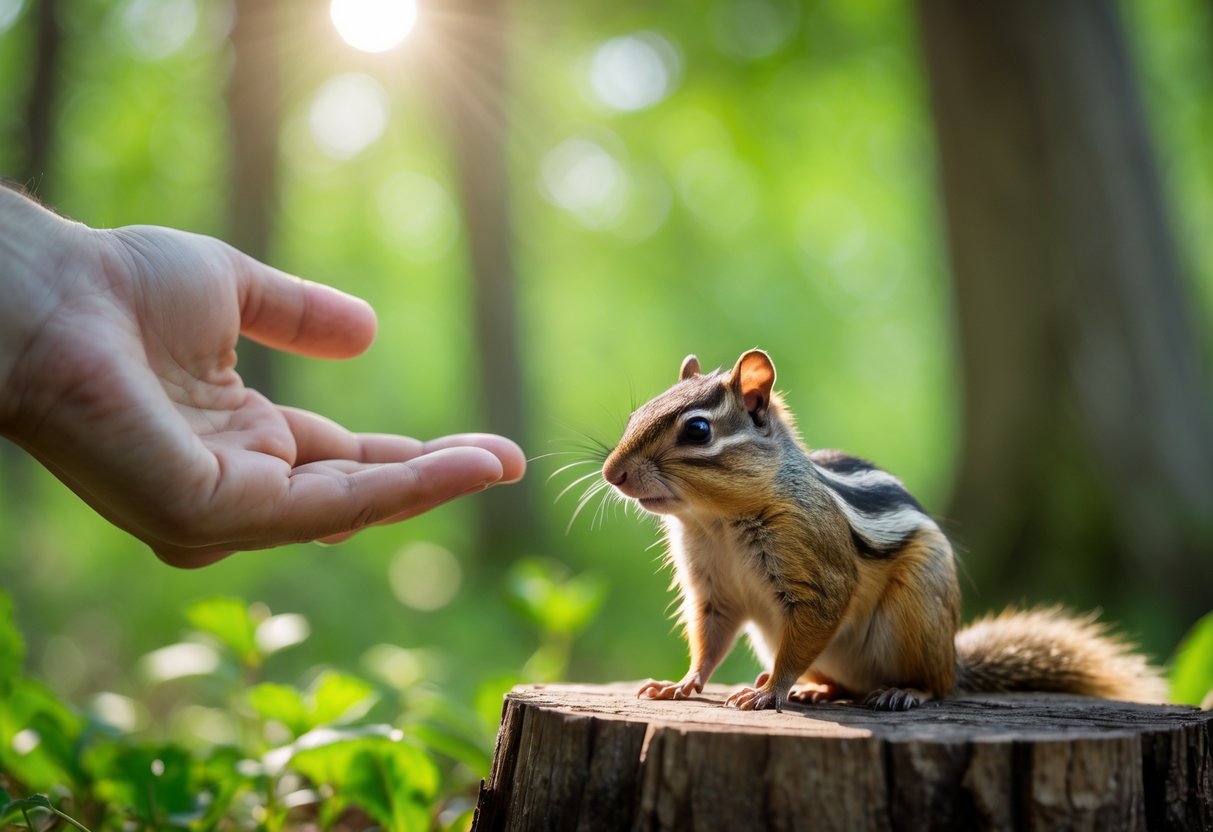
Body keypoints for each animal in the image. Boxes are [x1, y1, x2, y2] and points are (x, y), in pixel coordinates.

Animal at [601, 349, 1167, 712]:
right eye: (635, 414)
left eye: (697, 430)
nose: (611, 473)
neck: (714, 519)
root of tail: (954, 660)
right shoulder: (712, 591)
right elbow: (709, 641)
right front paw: (680, 685)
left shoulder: (818, 571)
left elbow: (816, 617)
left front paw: (770, 692)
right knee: (848, 686)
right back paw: (819, 690)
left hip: (919, 612)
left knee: (937, 687)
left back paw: (903, 692)